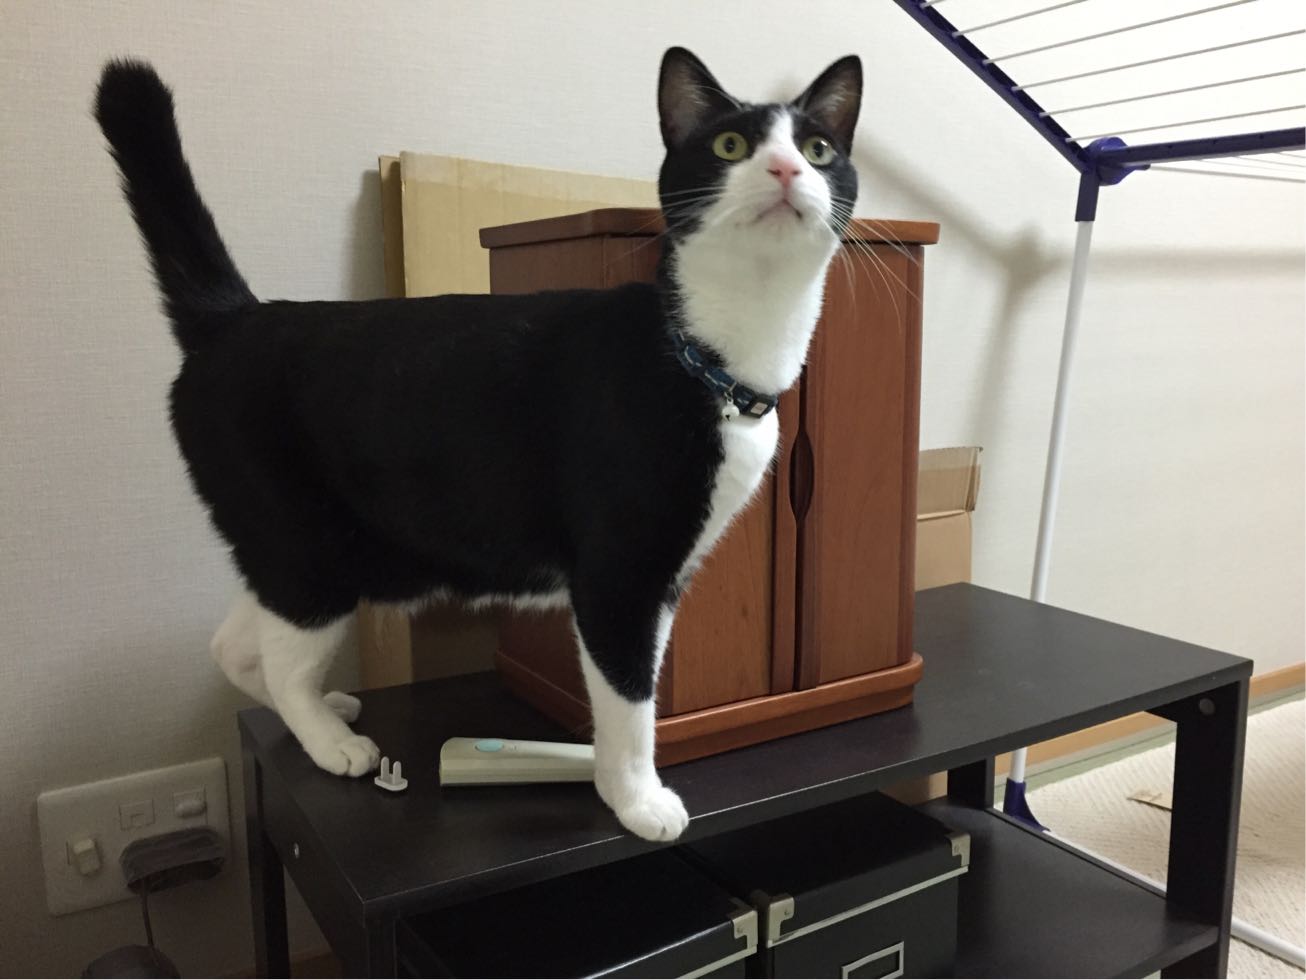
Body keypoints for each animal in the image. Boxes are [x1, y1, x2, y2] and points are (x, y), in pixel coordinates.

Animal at [94, 47, 861, 842]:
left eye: (818, 149)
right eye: (731, 145)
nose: (786, 169)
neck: (710, 360)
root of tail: (234, 318)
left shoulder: (670, 576)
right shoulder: (621, 576)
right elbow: (630, 699)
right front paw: (635, 797)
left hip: (303, 545)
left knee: (239, 644)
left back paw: (319, 708)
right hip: (308, 543)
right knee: (283, 655)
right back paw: (332, 741)